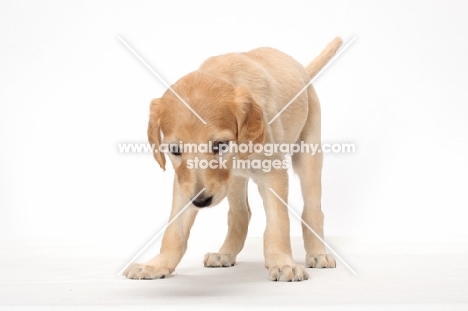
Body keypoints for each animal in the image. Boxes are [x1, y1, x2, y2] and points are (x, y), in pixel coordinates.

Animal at [124, 38, 344, 282]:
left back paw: (318, 253)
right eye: (174, 149)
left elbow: (278, 224)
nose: (200, 202)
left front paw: (282, 263)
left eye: (220, 145)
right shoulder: (184, 184)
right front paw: (157, 265)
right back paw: (225, 253)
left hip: (308, 154)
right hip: (234, 181)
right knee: (241, 214)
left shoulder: (274, 172)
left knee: (313, 210)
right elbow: (174, 230)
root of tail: (302, 69)